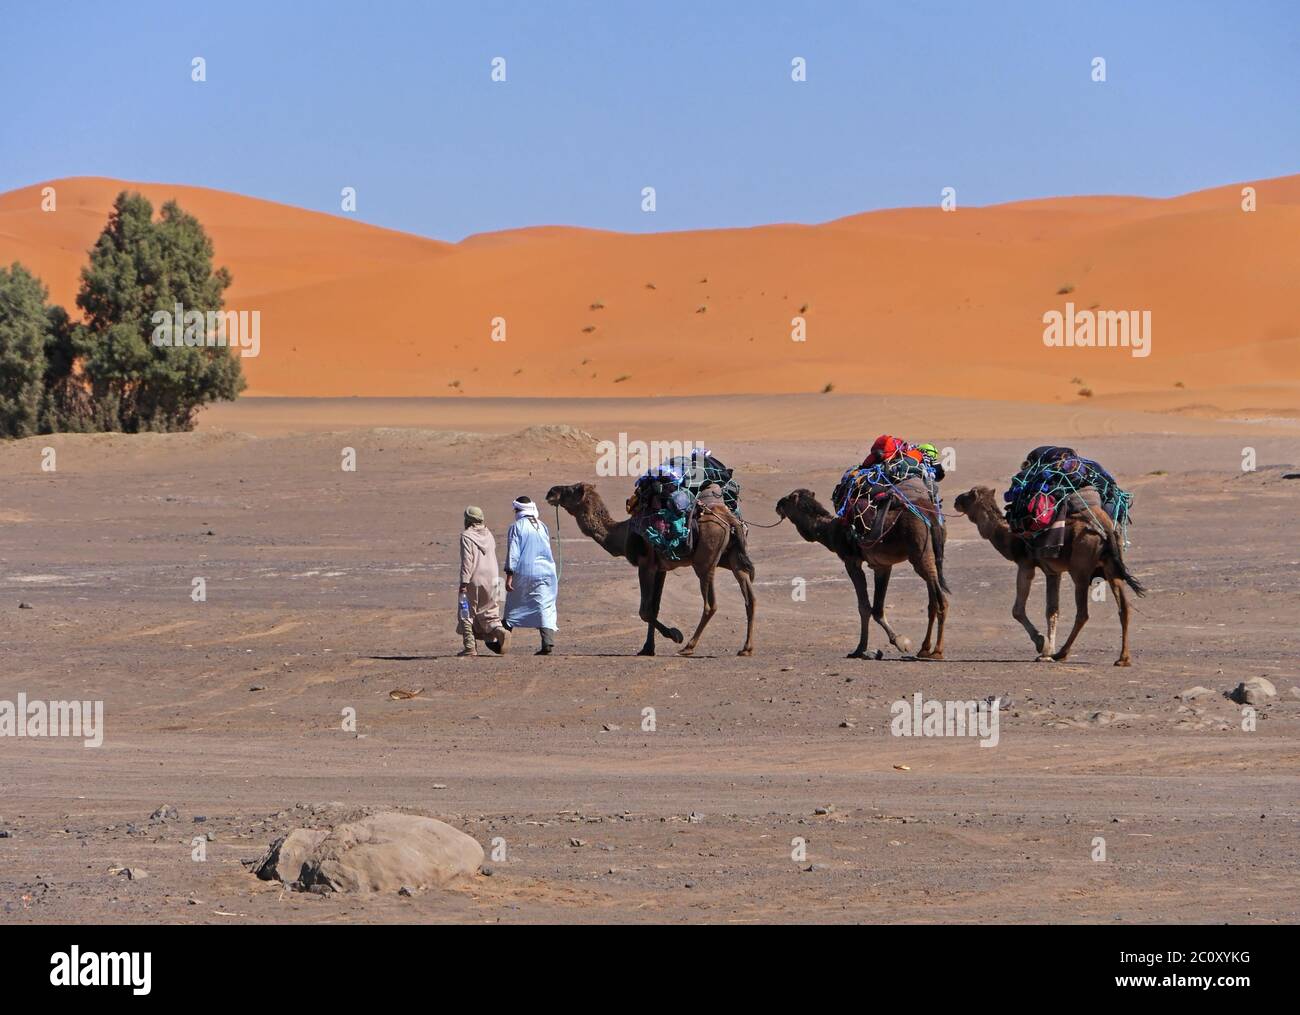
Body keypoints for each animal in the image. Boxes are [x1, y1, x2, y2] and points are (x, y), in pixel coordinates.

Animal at [543, 483, 759, 657]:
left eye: (571, 490)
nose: (551, 492)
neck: (622, 534)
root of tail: (730, 520)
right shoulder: (660, 568)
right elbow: (654, 607)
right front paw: (647, 648)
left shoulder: (645, 564)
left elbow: (644, 610)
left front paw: (675, 635)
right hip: (732, 559)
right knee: (750, 598)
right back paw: (746, 648)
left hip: (705, 562)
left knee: (710, 604)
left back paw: (688, 646)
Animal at [769, 488, 946, 657]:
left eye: (788, 498)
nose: (777, 505)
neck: (832, 531)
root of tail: (929, 513)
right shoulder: (882, 566)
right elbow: (877, 608)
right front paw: (897, 641)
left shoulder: (851, 561)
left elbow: (864, 607)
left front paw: (861, 648)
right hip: (929, 554)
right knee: (933, 600)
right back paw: (925, 649)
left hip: (920, 553)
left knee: (940, 600)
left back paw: (936, 651)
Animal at [951, 486, 1144, 665]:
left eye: (969, 494)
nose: (956, 500)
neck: (1011, 537)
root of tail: (1105, 528)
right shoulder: (1052, 571)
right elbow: (1052, 610)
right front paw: (1047, 653)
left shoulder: (1026, 565)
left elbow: (1017, 610)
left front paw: (1041, 644)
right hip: (1111, 568)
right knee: (1124, 608)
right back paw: (1123, 658)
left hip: (1080, 569)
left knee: (1083, 613)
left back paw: (1062, 654)